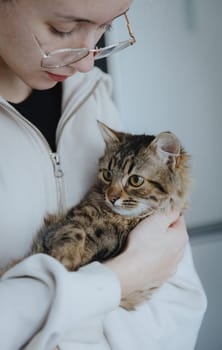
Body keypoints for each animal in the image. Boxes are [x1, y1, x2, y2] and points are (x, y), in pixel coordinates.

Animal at [0, 121, 191, 308]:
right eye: (107, 175)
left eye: (135, 180)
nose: (111, 198)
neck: (119, 219)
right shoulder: (62, 223)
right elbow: (75, 230)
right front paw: (67, 257)